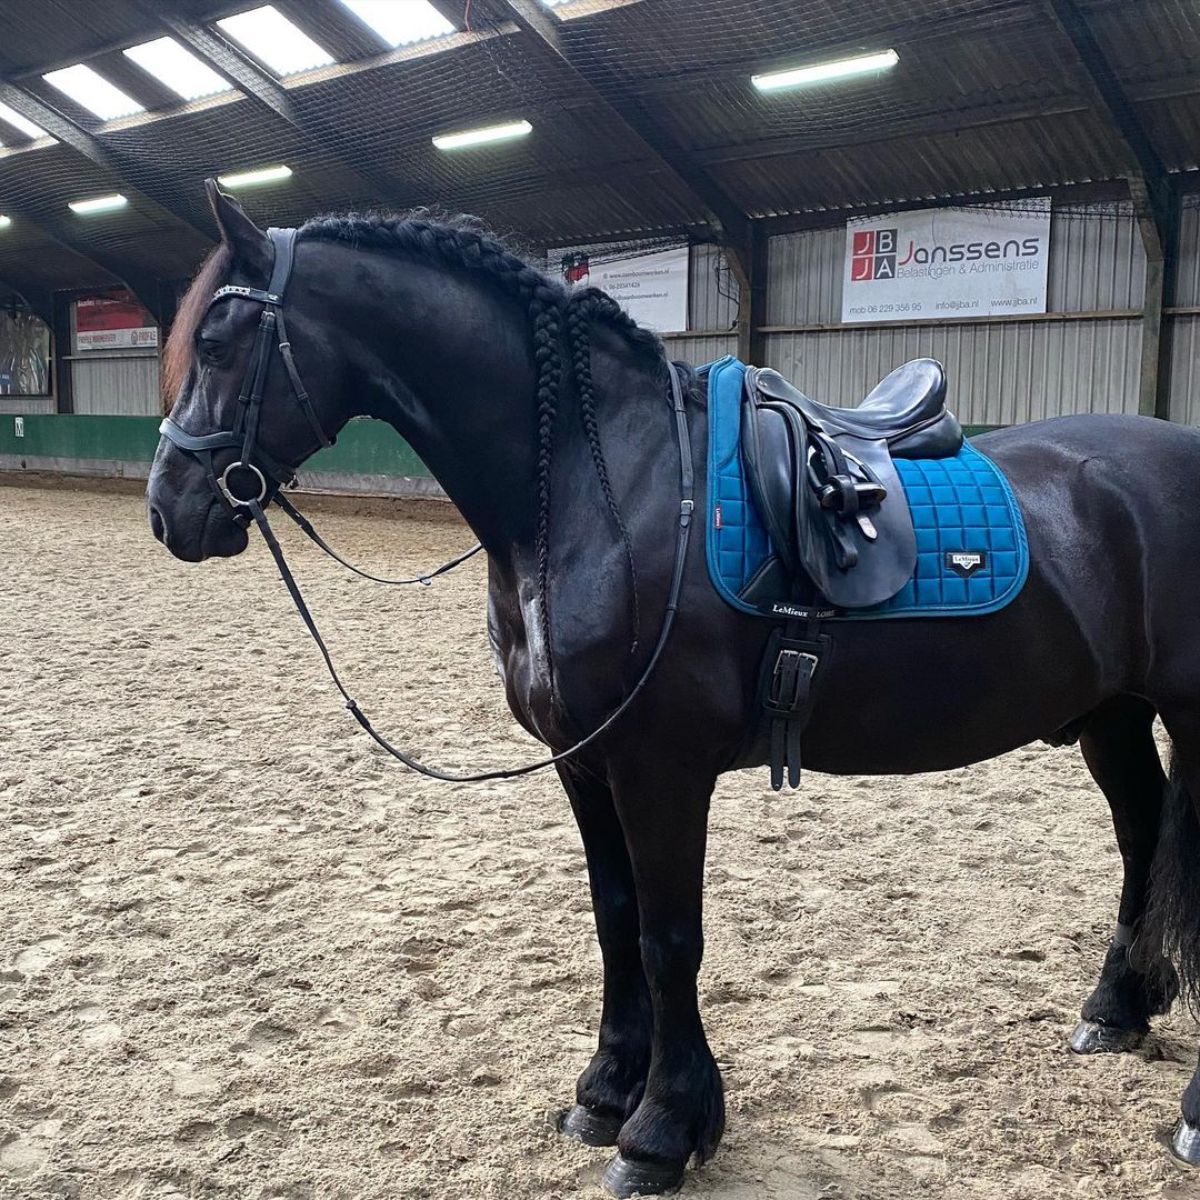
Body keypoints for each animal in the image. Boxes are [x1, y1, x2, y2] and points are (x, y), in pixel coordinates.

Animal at [147, 187, 1200, 1190]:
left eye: (217, 343)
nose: (169, 511)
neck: (602, 484)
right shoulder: (585, 764)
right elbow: (616, 922)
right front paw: (607, 1092)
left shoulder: (661, 768)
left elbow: (668, 939)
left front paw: (662, 1129)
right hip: (1112, 717)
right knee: (1142, 839)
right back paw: (1117, 1009)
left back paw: (1187, 1115)